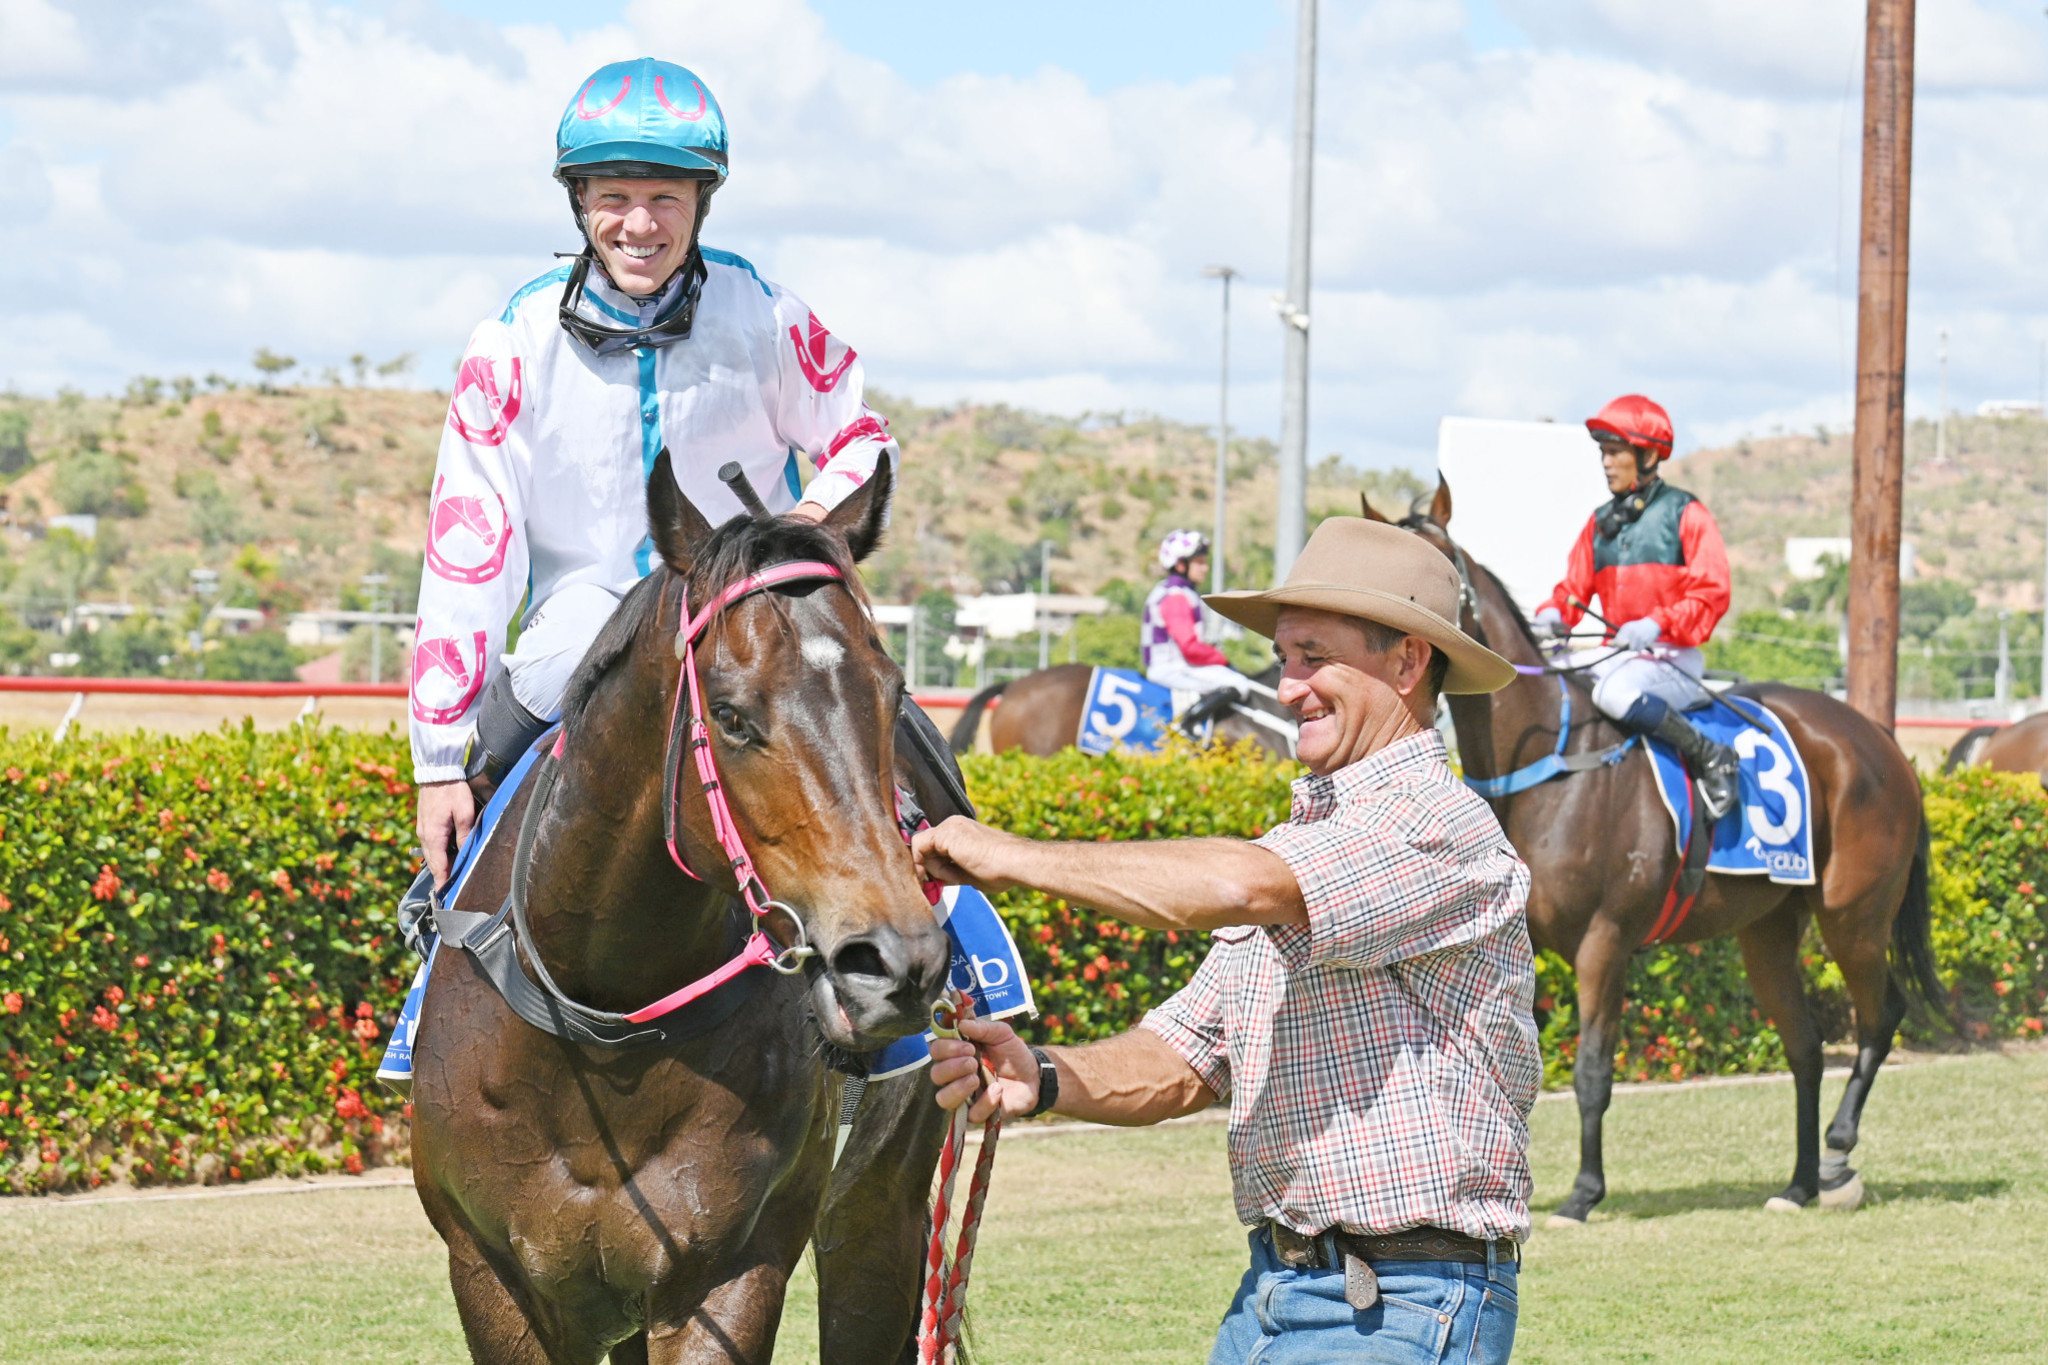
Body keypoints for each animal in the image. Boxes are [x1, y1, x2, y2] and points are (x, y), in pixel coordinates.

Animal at [415, 454, 966, 1358]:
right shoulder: (495, 1275)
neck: (604, 1026)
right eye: (734, 716)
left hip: (880, 1206)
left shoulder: (731, 1269)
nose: (898, 964)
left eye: (892, 694)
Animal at [1368, 482, 1941, 1227]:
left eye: (1430, 570)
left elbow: (1590, 1070)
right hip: (1768, 931)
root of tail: (1879, 740)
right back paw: (1797, 1183)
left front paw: (1583, 1192)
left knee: (1880, 1015)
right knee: (1806, 1047)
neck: (1553, 769)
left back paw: (1838, 1153)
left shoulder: (1605, 941)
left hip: (1853, 916)